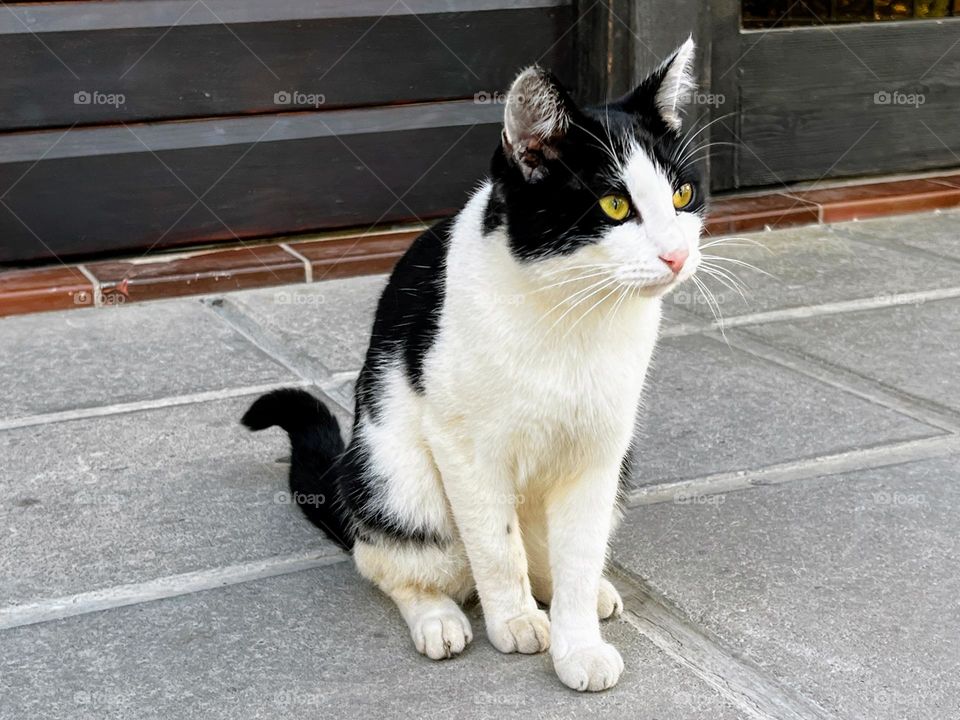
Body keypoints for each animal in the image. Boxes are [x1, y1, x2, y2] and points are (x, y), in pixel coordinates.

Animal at [244, 39, 700, 692]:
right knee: (389, 559)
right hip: (396, 476)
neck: (573, 319)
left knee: (549, 557)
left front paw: (579, 642)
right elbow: (495, 547)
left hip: (617, 470)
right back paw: (439, 617)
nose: (678, 254)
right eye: (615, 205)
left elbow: (578, 557)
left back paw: (586, 593)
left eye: (682, 197)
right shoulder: (465, 449)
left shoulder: (600, 448)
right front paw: (515, 622)